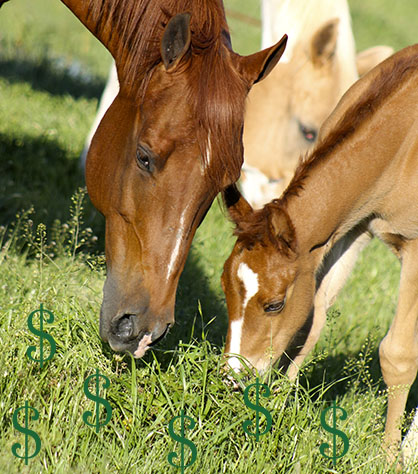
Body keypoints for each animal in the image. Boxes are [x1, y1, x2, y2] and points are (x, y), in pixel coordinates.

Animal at [224, 46, 418, 454]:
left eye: (274, 304)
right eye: (225, 288)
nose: (234, 377)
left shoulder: (414, 249)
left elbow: (398, 353)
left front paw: (391, 456)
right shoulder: (348, 230)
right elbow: (311, 321)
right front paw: (273, 410)